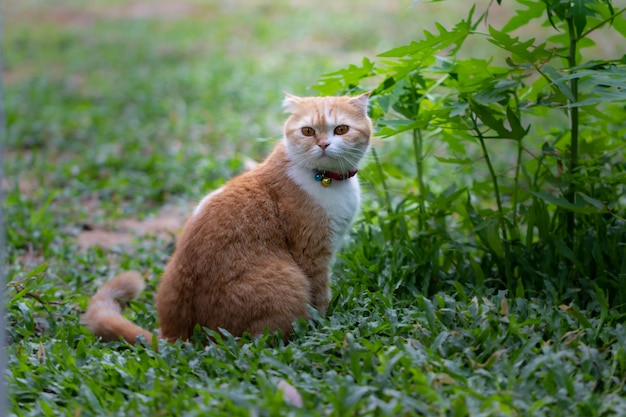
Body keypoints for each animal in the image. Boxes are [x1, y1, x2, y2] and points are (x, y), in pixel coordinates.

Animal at [79, 92, 370, 342]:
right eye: (308, 131)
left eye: (341, 130)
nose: (323, 144)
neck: (326, 178)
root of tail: (176, 337)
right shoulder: (312, 254)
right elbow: (319, 295)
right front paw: (323, 325)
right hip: (289, 280)